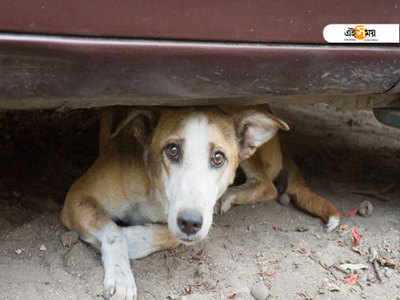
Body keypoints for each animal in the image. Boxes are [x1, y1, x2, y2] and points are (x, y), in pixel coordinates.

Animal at [61, 106, 340, 300]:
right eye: (172, 150)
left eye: (218, 157)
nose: (189, 223)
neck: (156, 193)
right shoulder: (77, 196)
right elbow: (112, 230)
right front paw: (120, 276)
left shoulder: (197, 220)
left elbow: (168, 235)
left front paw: (132, 240)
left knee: (267, 186)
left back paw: (229, 196)